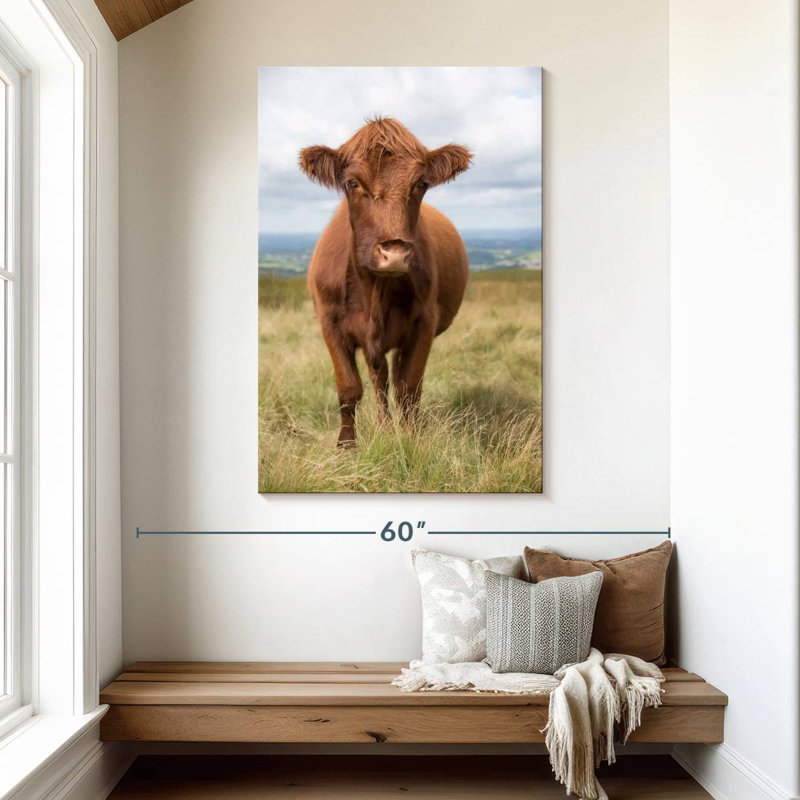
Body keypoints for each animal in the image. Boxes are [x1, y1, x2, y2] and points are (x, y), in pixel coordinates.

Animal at [299, 117, 472, 446]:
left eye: (421, 184)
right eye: (353, 183)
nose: (395, 254)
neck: (374, 291)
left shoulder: (424, 323)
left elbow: (408, 388)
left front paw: (410, 439)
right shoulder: (330, 323)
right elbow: (349, 389)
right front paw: (346, 446)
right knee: (379, 380)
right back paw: (382, 424)